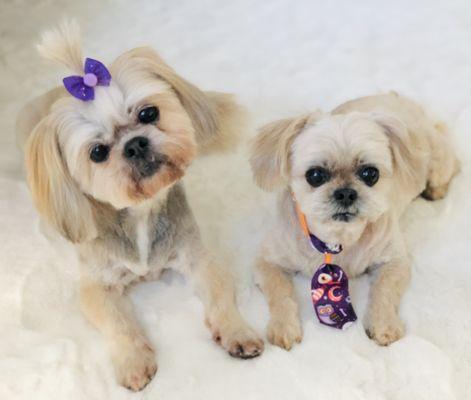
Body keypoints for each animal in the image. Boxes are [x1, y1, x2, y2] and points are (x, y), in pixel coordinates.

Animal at [18, 21, 264, 390]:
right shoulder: (97, 285)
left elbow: (221, 296)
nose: (135, 144)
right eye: (97, 153)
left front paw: (236, 331)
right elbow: (117, 324)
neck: (141, 214)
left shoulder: (197, 258)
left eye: (149, 113)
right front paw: (133, 361)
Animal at [251, 92, 460, 348]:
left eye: (370, 173)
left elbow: (384, 290)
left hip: (438, 158)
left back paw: (435, 190)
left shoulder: (395, 261)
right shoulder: (266, 262)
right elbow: (279, 292)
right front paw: (283, 327)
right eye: (315, 175)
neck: (336, 239)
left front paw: (384, 324)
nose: (345, 193)